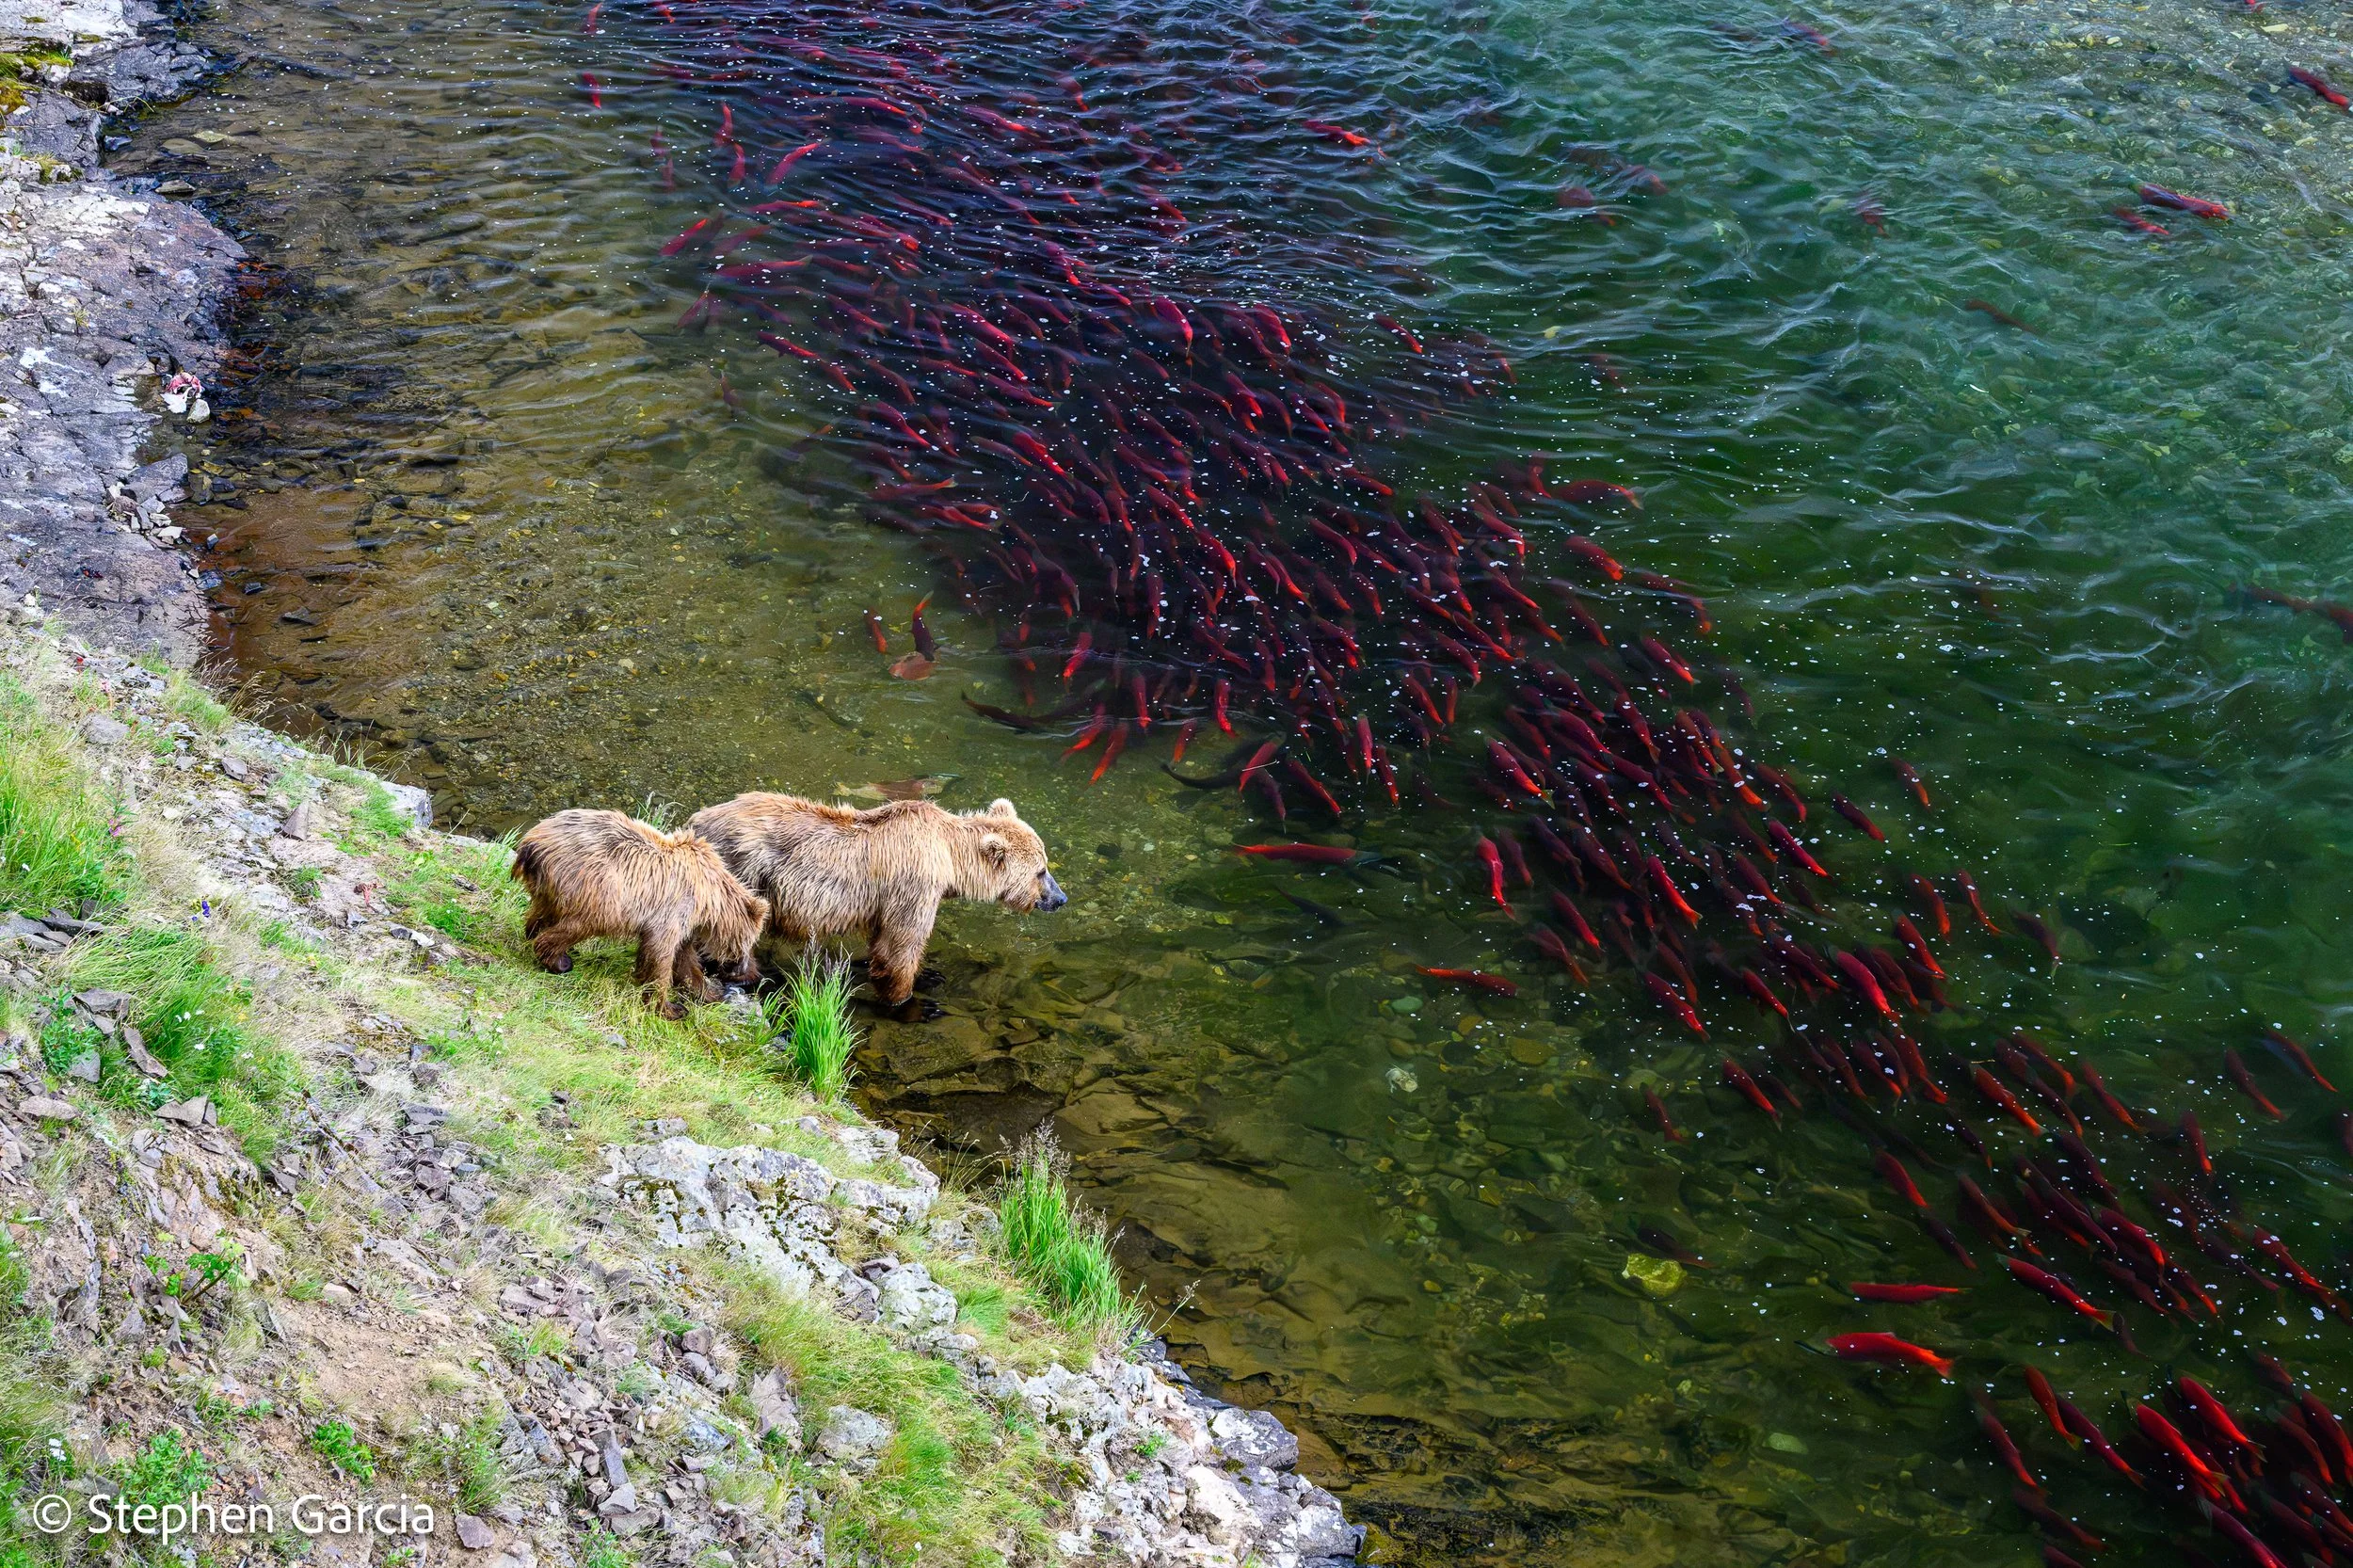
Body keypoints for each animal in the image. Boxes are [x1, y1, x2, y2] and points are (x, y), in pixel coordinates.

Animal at [509, 808, 771, 1019]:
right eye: (751, 942)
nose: (743, 971)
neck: (710, 897)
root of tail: (531, 842)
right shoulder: (675, 906)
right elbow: (661, 953)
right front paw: (670, 1008)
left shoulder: (687, 922)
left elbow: (684, 959)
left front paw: (711, 993)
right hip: (597, 884)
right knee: (587, 921)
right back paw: (558, 960)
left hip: (552, 883)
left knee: (542, 911)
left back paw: (536, 935)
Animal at [683, 793, 1067, 1005]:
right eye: (1041, 871)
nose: (1060, 898)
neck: (949, 856)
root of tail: (696, 820)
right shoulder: (915, 885)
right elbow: (902, 945)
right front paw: (907, 1000)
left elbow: (883, 944)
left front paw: (927, 976)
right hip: (745, 870)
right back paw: (748, 976)